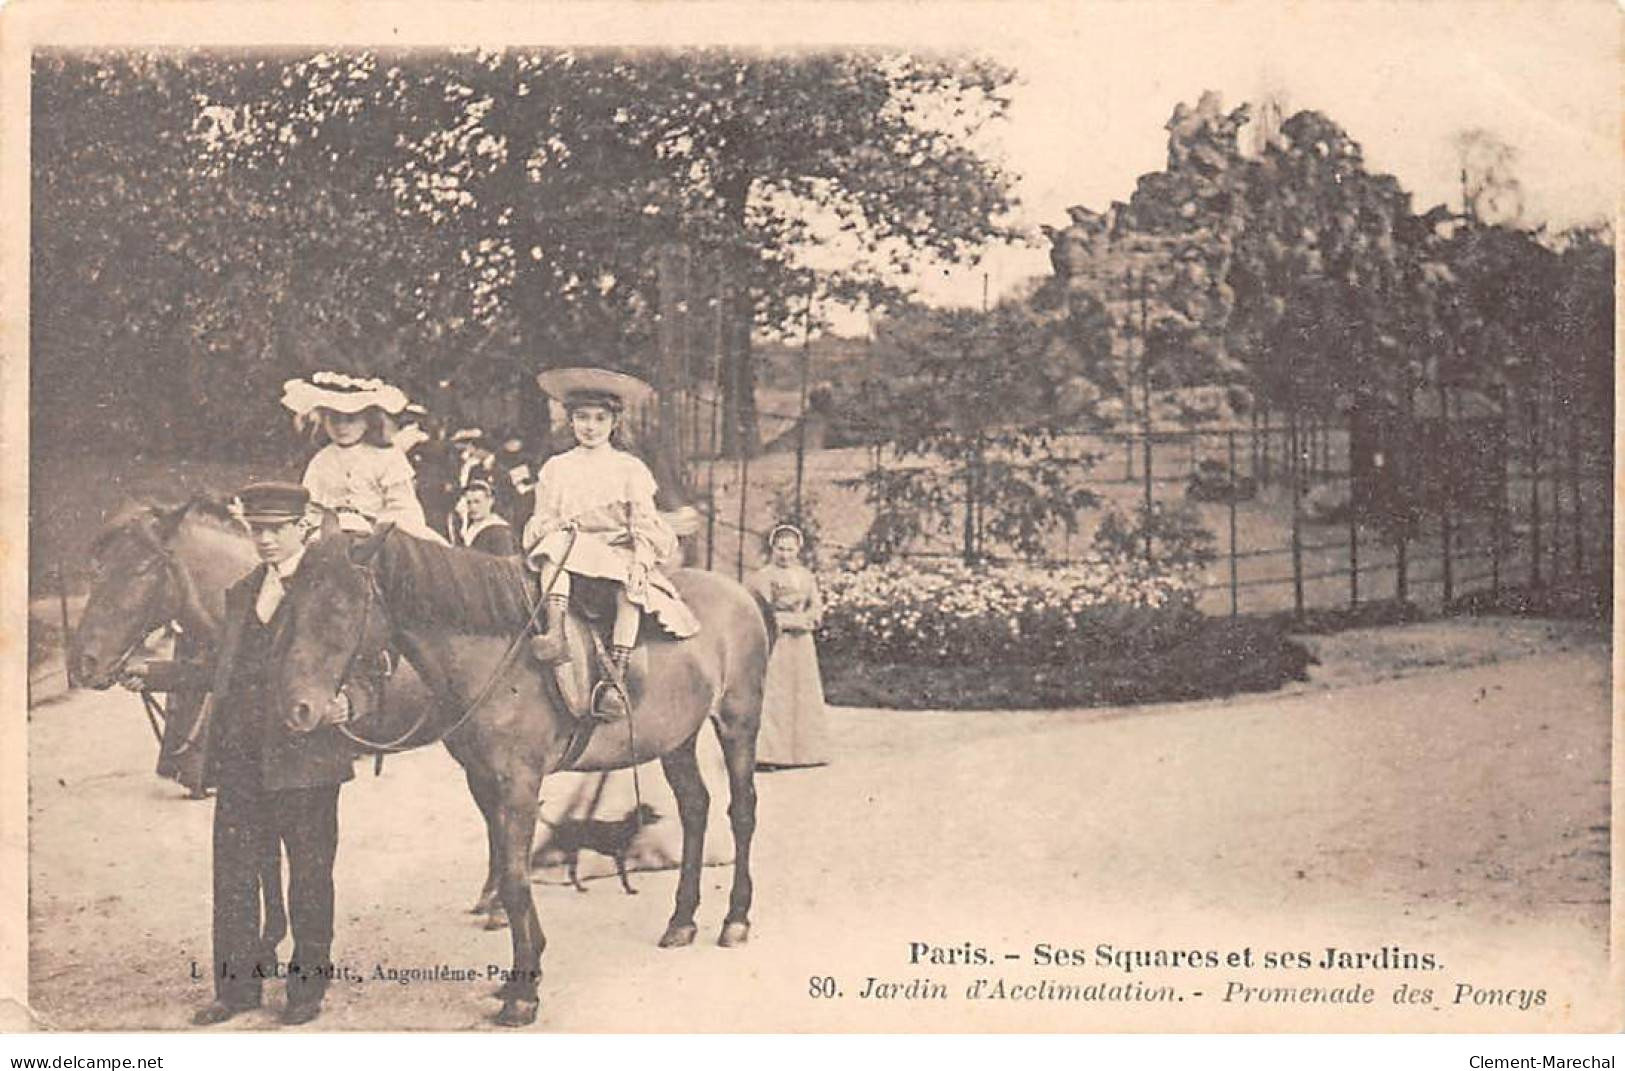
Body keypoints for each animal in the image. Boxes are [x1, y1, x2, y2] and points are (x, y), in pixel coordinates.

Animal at [269, 523, 770, 1027]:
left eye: (339, 608)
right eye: (291, 603)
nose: (298, 709)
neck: (499, 657)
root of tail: (741, 592)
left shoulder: (520, 785)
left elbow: (514, 878)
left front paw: (524, 994)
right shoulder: (484, 781)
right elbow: (508, 873)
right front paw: (521, 973)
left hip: (738, 722)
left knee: (742, 812)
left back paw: (736, 919)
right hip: (677, 739)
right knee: (695, 808)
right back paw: (682, 920)